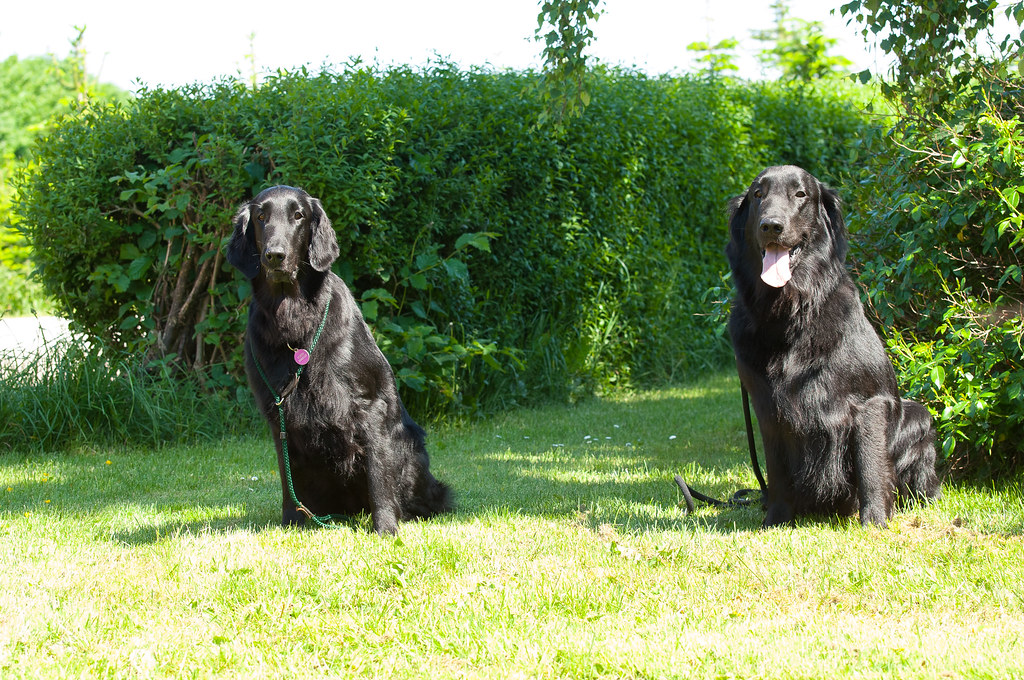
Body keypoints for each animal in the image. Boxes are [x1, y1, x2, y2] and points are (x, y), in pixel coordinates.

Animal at [228, 184, 452, 532]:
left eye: (299, 215)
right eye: (261, 217)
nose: (275, 256)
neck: (294, 325)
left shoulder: (370, 405)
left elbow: (378, 475)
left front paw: (386, 530)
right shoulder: (277, 414)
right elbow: (288, 481)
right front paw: (291, 524)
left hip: (408, 447)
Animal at [729, 164, 937, 524]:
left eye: (801, 194)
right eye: (757, 194)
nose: (771, 225)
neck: (792, 314)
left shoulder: (869, 402)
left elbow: (870, 465)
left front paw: (874, 521)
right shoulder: (766, 408)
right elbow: (776, 470)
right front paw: (775, 520)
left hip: (917, 415)